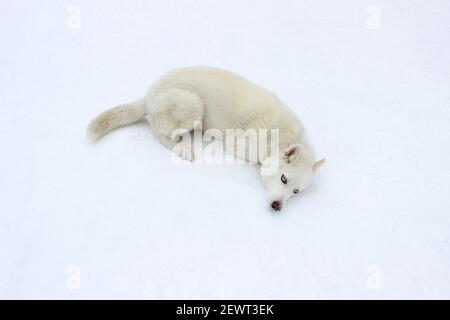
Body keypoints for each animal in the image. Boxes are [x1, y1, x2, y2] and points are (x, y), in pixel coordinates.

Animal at [87, 66, 324, 211]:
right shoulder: (237, 143)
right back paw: (182, 148)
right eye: (283, 178)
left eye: (295, 192)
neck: (281, 137)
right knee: (160, 133)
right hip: (194, 105)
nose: (277, 206)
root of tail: (148, 95)